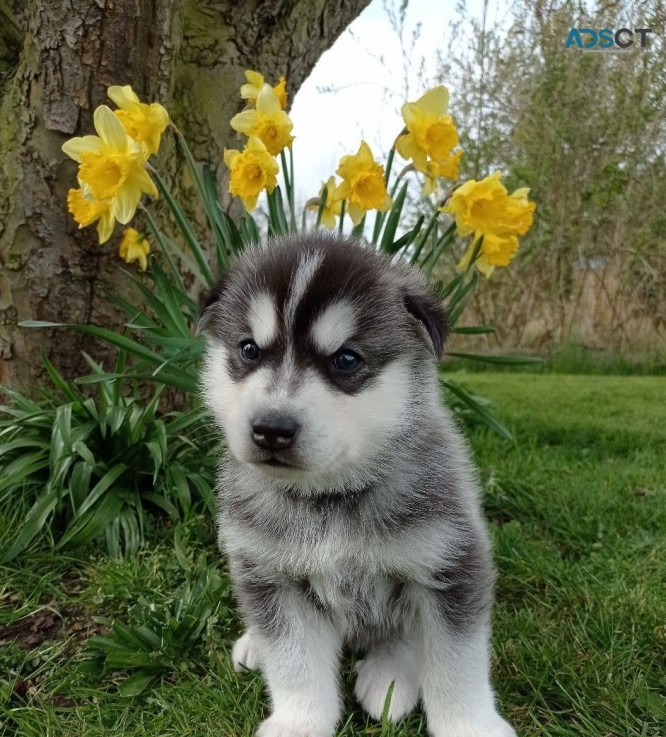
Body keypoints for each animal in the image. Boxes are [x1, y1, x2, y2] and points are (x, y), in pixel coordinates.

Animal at [197, 234, 512, 736]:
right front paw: (298, 722)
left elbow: (455, 665)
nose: (271, 429)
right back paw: (254, 645)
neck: (329, 498)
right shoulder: (271, 575)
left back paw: (388, 678)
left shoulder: (450, 564)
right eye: (248, 350)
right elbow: (295, 662)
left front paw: (471, 725)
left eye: (346, 359)